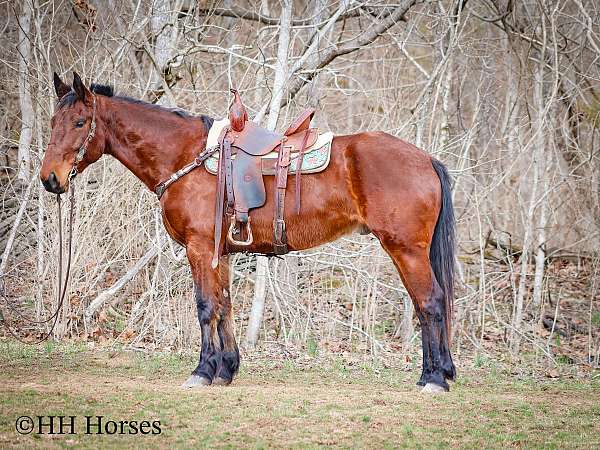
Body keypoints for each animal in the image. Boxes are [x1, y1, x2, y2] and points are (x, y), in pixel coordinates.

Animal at [41, 72, 454, 392]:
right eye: (52, 122)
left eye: (79, 123)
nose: (50, 179)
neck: (185, 156)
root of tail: (425, 159)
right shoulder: (220, 252)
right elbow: (224, 306)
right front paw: (226, 369)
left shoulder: (199, 247)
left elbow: (205, 306)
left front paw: (202, 371)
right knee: (430, 304)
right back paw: (437, 373)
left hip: (406, 249)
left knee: (430, 302)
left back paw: (434, 379)